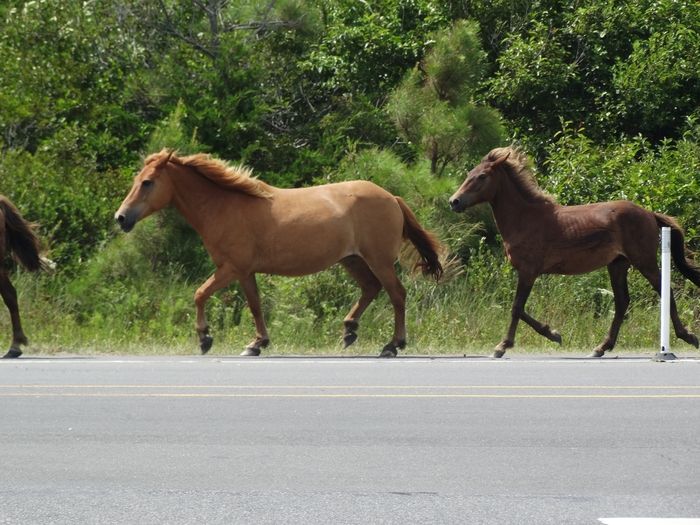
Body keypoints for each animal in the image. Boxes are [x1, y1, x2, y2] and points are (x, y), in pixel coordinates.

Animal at [115, 149, 442, 358]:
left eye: (147, 182)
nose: (121, 218)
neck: (224, 207)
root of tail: (392, 198)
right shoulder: (245, 272)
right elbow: (255, 306)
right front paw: (257, 344)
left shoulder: (231, 269)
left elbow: (199, 293)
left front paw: (205, 338)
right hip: (352, 260)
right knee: (372, 288)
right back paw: (349, 330)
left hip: (379, 260)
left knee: (396, 294)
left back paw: (393, 345)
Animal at [448, 149, 700, 358]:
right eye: (470, 173)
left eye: (482, 177)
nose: (454, 201)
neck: (525, 218)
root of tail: (649, 213)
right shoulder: (529, 272)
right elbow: (520, 309)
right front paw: (553, 333)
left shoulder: (528, 271)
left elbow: (517, 307)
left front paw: (503, 346)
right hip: (618, 264)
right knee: (622, 302)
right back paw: (601, 347)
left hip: (644, 261)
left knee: (665, 292)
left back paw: (687, 336)